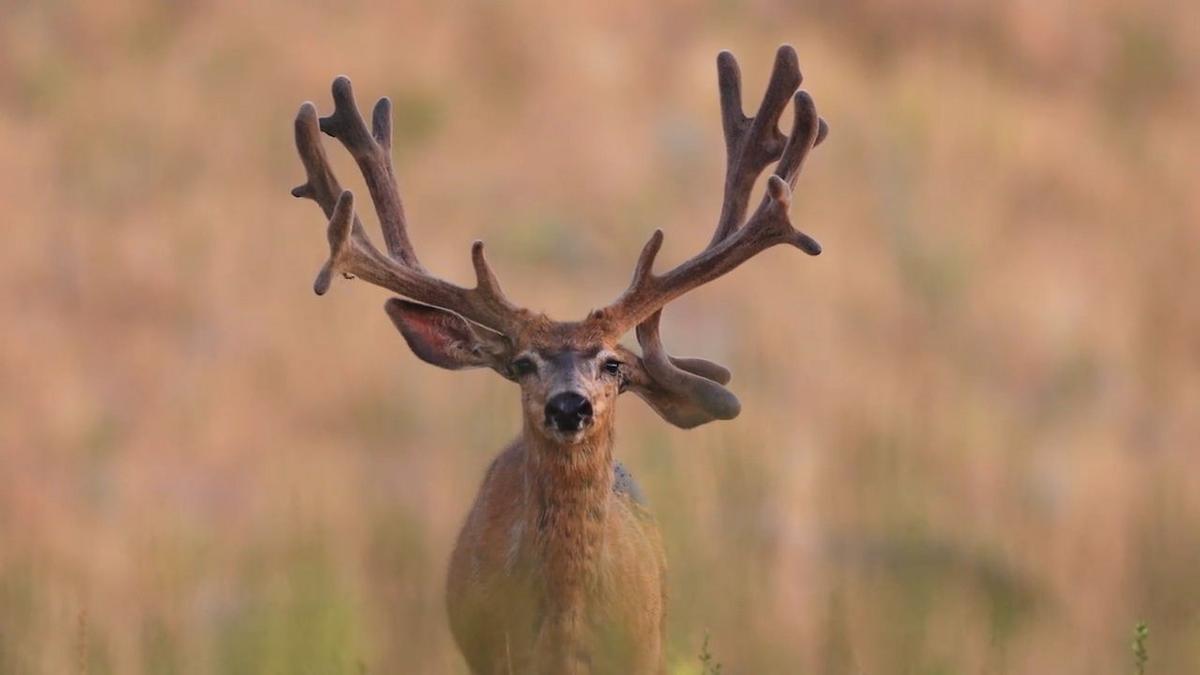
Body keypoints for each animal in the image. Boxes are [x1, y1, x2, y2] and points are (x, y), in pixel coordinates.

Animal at [290, 45, 827, 675]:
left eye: (615, 365)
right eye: (522, 363)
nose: (569, 407)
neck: (566, 633)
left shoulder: (642, 654)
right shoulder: (492, 656)